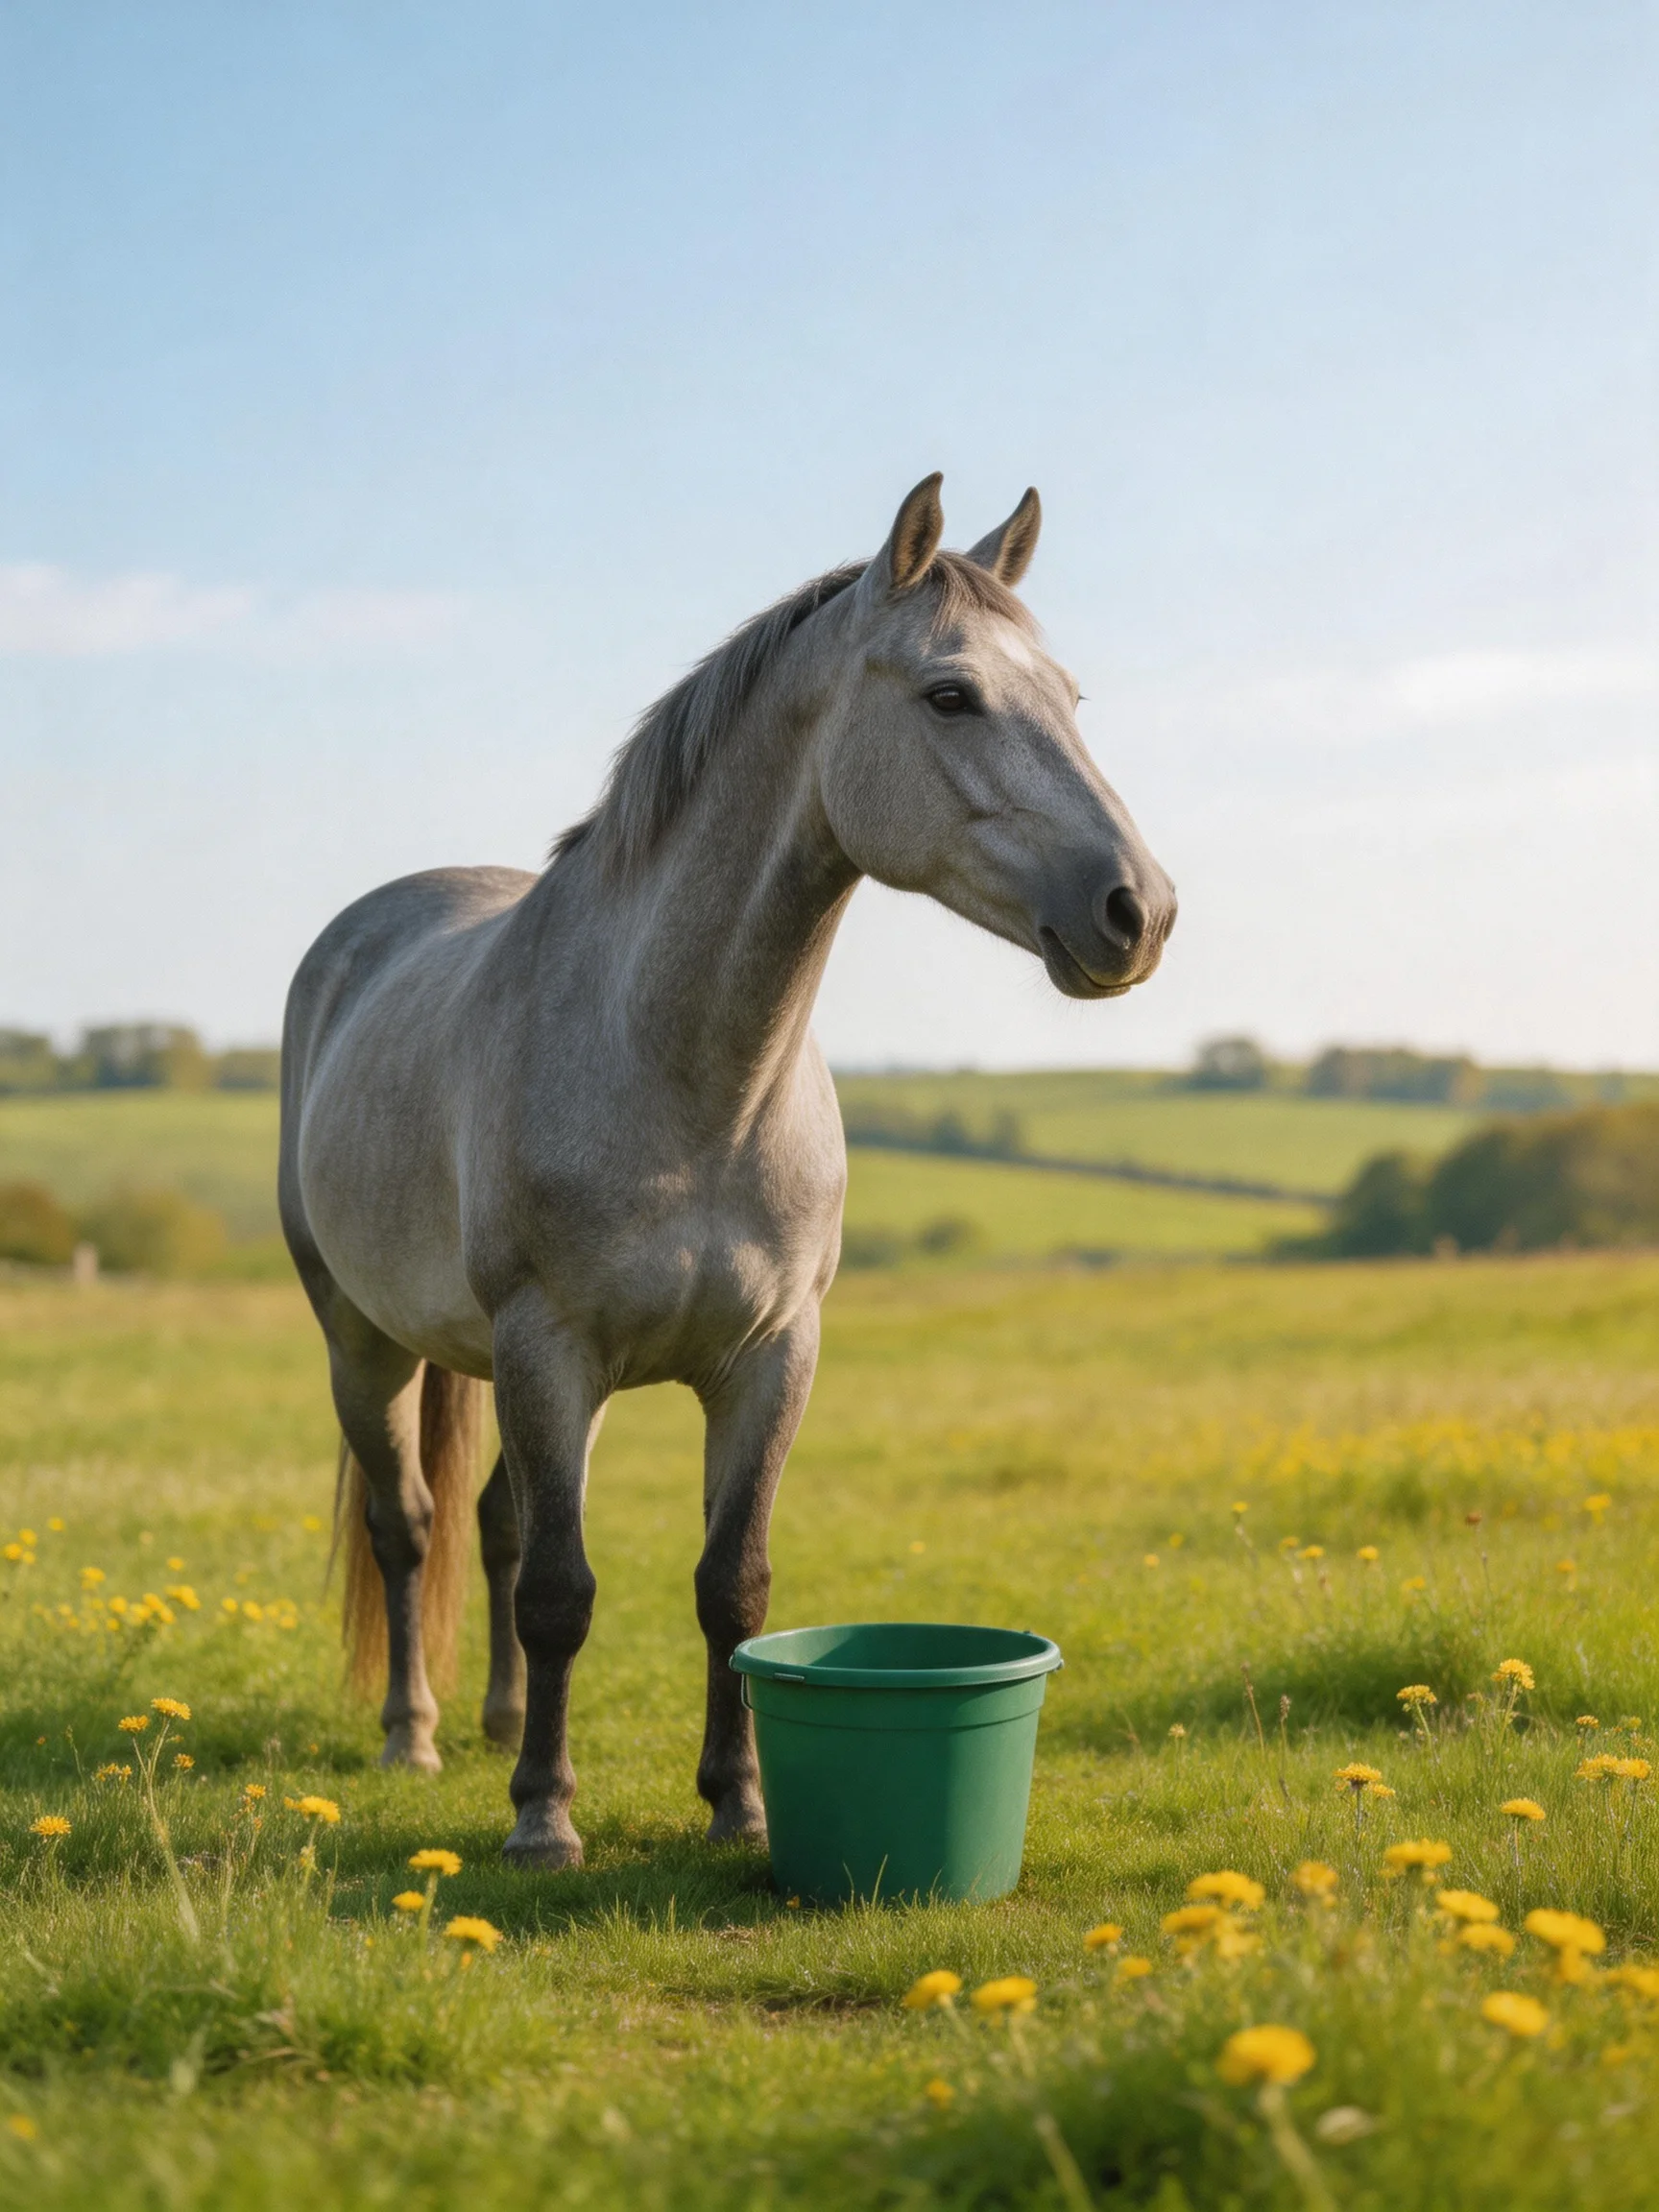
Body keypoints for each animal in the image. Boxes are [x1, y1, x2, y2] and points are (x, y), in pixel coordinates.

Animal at [278, 474, 1176, 1867]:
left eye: (1071, 698)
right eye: (950, 695)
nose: (1139, 911)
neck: (683, 1070)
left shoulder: (770, 1356)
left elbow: (730, 1587)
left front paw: (740, 1804)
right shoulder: (550, 1349)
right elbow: (563, 1592)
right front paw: (544, 1819)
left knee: (490, 1523)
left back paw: (495, 1725)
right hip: (363, 1341)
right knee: (410, 1528)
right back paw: (415, 1737)